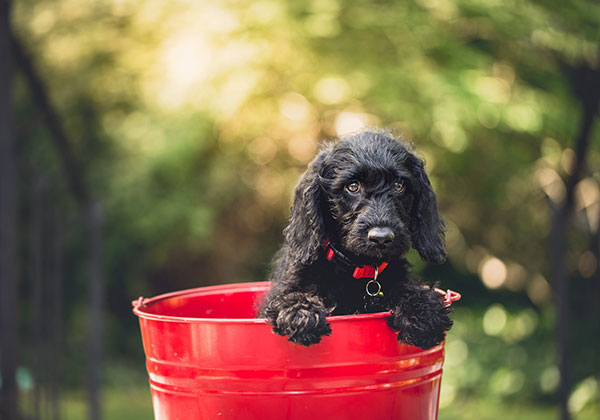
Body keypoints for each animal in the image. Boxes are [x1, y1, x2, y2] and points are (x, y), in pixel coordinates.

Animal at [258, 130, 450, 350]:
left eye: (399, 185)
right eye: (352, 186)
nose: (381, 238)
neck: (358, 268)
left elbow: (407, 288)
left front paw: (423, 311)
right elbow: (290, 296)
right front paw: (301, 313)